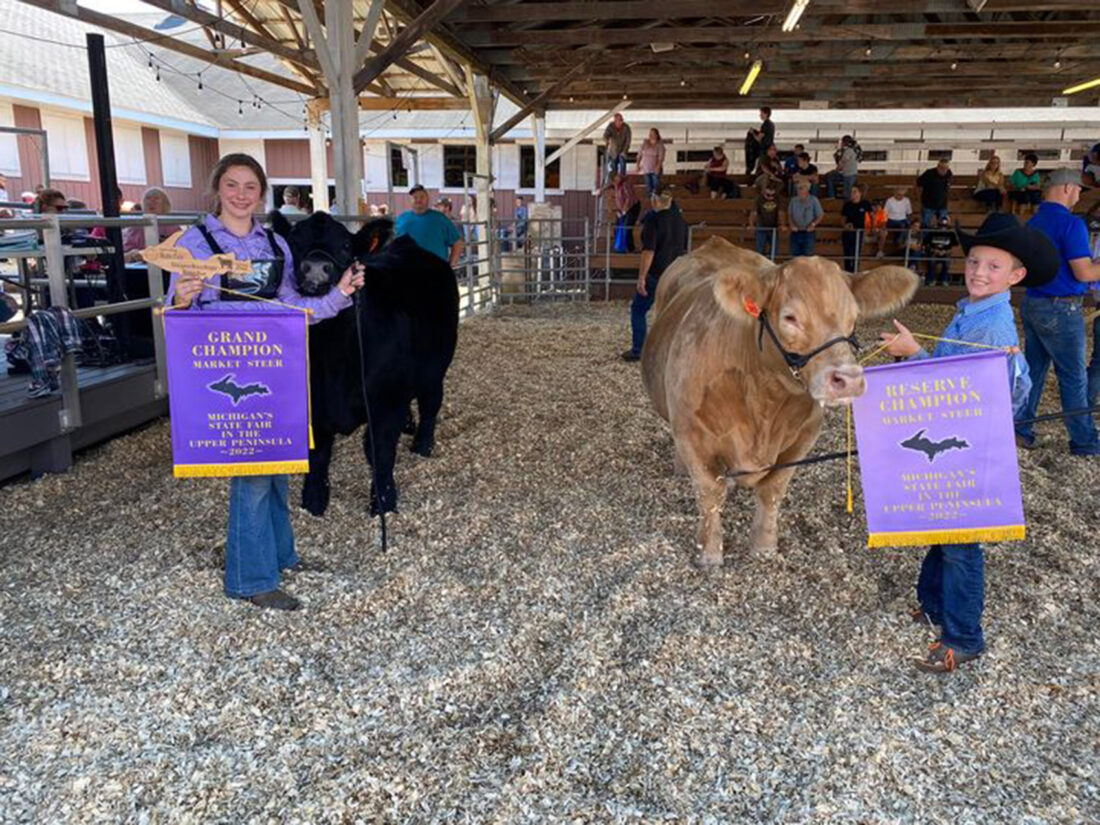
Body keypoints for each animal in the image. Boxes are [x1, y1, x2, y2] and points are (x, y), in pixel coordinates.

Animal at [269, 211, 459, 517]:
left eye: (346, 246)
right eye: (295, 241)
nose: (316, 268)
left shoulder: (385, 402)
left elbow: (379, 451)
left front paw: (384, 502)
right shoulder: (312, 404)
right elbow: (318, 453)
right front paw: (313, 501)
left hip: (435, 367)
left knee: (431, 404)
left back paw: (422, 444)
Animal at [641, 237, 919, 568]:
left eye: (853, 319)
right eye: (790, 318)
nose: (849, 379)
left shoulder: (804, 437)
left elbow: (772, 489)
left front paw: (764, 546)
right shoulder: (690, 431)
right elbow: (710, 492)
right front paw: (709, 552)